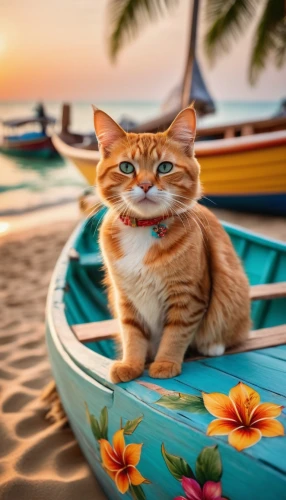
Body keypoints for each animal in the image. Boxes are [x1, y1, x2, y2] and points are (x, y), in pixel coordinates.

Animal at [93, 105, 250, 382]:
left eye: (165, 167)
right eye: (126, 167)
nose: (145, 185)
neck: (144, 229)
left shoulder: (188, 297)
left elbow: (175, 335)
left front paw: (165, 363)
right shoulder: (125, 297)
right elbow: (132, 334)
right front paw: (131, 364)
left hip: (233, 293)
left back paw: (213, 345)